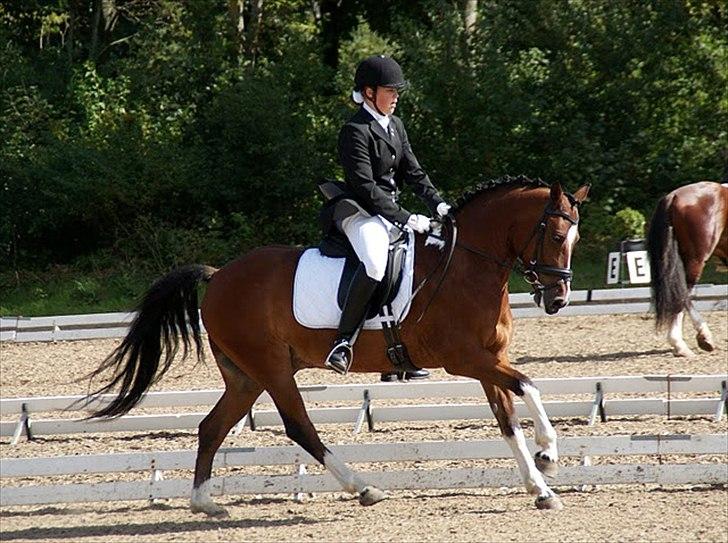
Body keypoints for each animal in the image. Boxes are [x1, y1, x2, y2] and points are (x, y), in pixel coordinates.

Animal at [82, 175, 590, 516]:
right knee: (298, 426)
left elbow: (508, 420)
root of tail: (220, 274)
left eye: (576, 237)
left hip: (246, 376)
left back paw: (204, 503)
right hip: (272, 370)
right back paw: (362, 487)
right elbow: (529, 386)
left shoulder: (489, 360)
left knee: (212, 427)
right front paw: (549, 455)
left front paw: (540, 486)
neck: (468, 267)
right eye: (556, 235)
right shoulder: (463, 359)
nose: (558, 299)